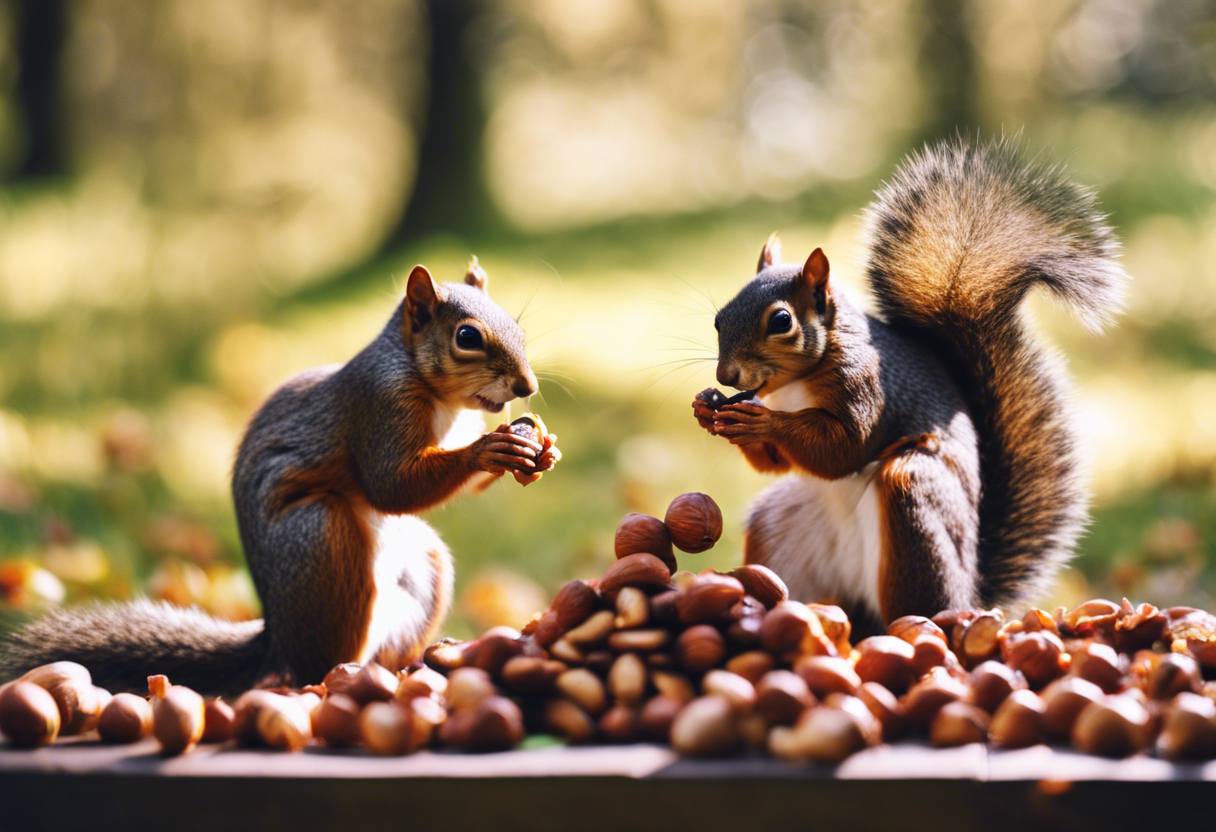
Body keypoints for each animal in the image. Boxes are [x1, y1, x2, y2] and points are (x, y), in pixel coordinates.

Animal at [0, 259, 559, 694]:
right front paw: (487, 450)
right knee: (318, 663)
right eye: (467, 337)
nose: (527, 386)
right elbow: (390, 485)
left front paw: (539, 452)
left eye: (517, 325)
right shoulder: (378, 408)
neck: (443, 400)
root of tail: (279, 639)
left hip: (424, 564)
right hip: (322, 539)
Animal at [692, 137, 1128, 634]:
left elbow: (844, 447)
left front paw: (763, 424)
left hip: (914, 497)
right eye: (719, 318)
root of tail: (970, 590)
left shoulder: (866, 385)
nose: (726, 377)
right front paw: (707, 408)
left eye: (781, 321)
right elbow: (775, 462)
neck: (794, 385)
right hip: (779, 527)